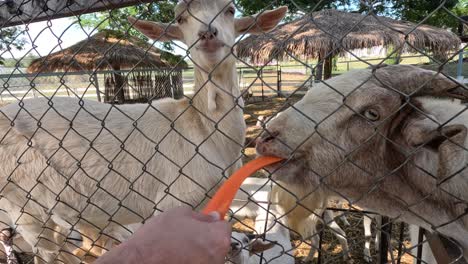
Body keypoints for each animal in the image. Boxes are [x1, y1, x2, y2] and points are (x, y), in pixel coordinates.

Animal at [0, 1, 288, 262]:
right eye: (180, 18)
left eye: (230, 10)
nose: (207, 33)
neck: (204, 131)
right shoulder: (172, 200)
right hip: (23, 204)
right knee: (47, 251)